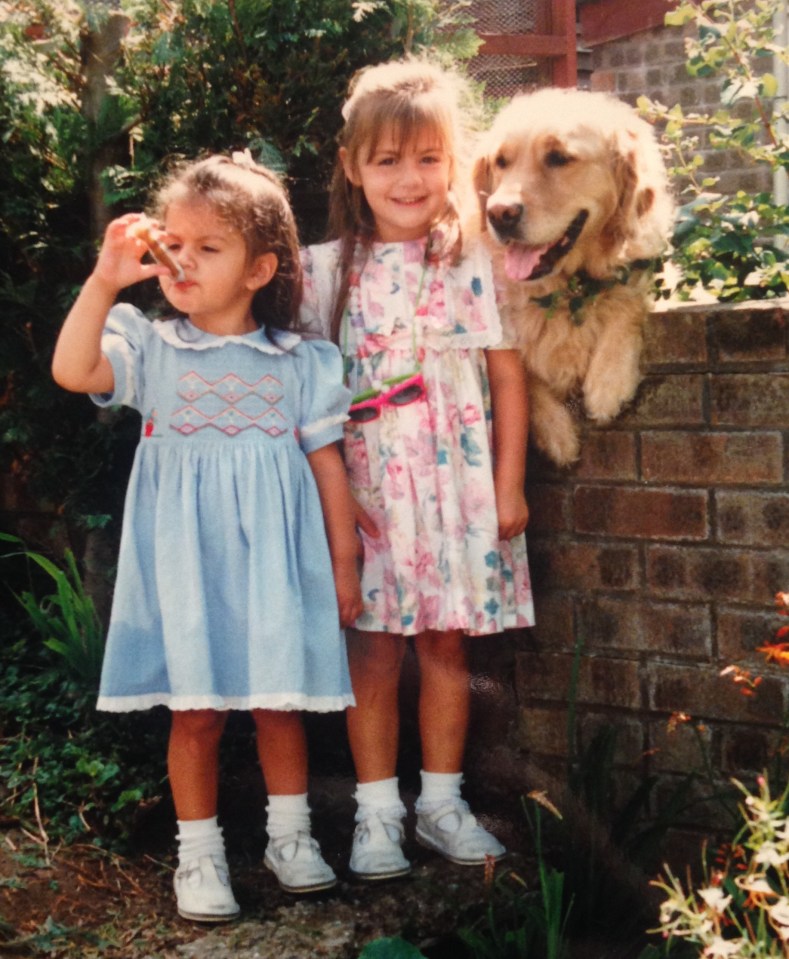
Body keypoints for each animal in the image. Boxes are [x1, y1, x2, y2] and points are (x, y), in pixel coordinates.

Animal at [470, 88, 676, 466]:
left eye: (558, 158)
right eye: (501, 162)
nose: (499, 213)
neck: (568, 291)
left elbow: (627, 303)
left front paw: (608, 382)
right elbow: (524, 375)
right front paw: (557, 433)